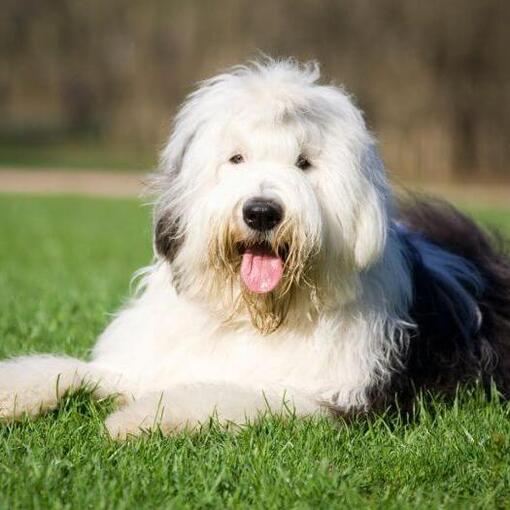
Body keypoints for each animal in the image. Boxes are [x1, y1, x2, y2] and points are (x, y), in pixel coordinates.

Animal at [0, 57, 510, 436]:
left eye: (304, 163)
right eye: (236, 158)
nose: (262, 212)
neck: (254, 315)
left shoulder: (335, 397)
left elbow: (231, 394)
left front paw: (139, 417)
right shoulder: (149, 360)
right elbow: (67, 370)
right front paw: (14, 392)